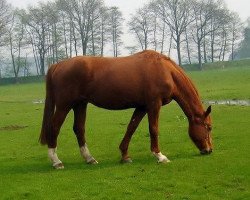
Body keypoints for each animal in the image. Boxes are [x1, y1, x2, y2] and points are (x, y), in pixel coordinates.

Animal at [39, 50, 213, 169]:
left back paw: (89, 158)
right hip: (65, 105)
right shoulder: (153, 104)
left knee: (79, 129)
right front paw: (159, 155)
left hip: (80, 104)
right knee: (54, 128)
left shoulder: (142, 106)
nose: (209, 150)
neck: (165, 71)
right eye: (209, 127)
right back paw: (56, 161)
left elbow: (131, 128)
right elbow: (153, 129)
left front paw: (125, 155)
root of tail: (58, 65)